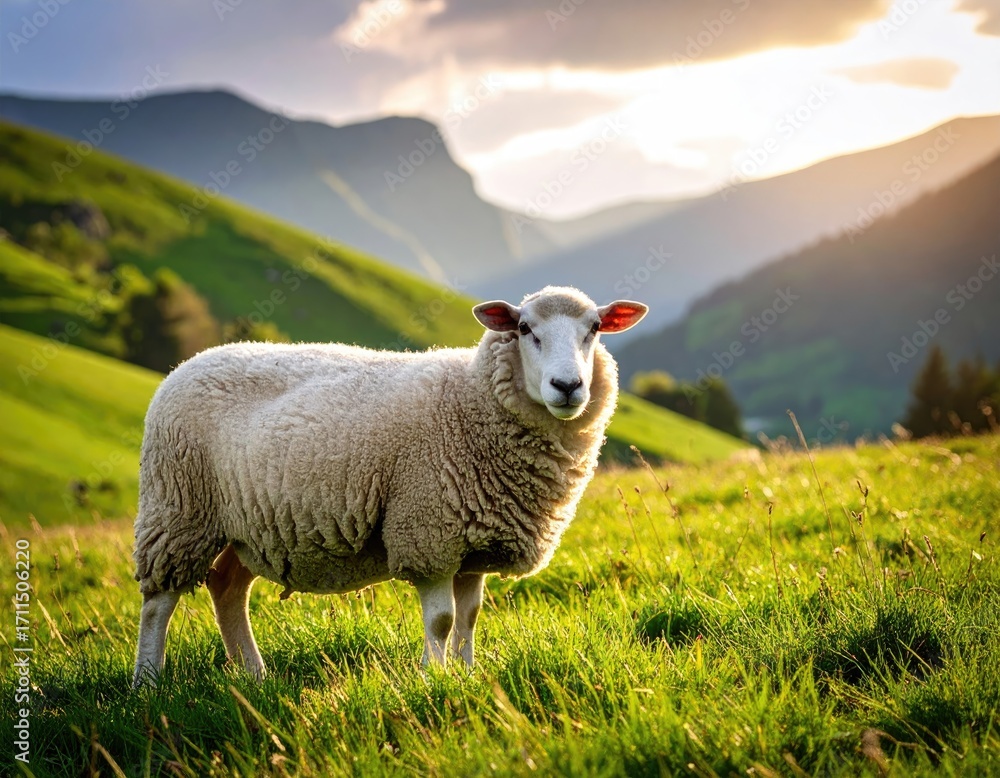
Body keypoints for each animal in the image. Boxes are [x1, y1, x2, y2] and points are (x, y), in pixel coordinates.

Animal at [132, 286, 647, 686]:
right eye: (524, 329)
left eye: (595, 328)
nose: (568, 386)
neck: (471, 401)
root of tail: (188, 363)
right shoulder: (429, 533)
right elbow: (441, 620)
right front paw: (433, 678)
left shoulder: (474, 543)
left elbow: (470, 617)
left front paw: (466, 675)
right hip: (177, 508)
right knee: (159, 603)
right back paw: (148, 684)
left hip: (248, 526)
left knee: (226, 587)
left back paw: (255, 675)